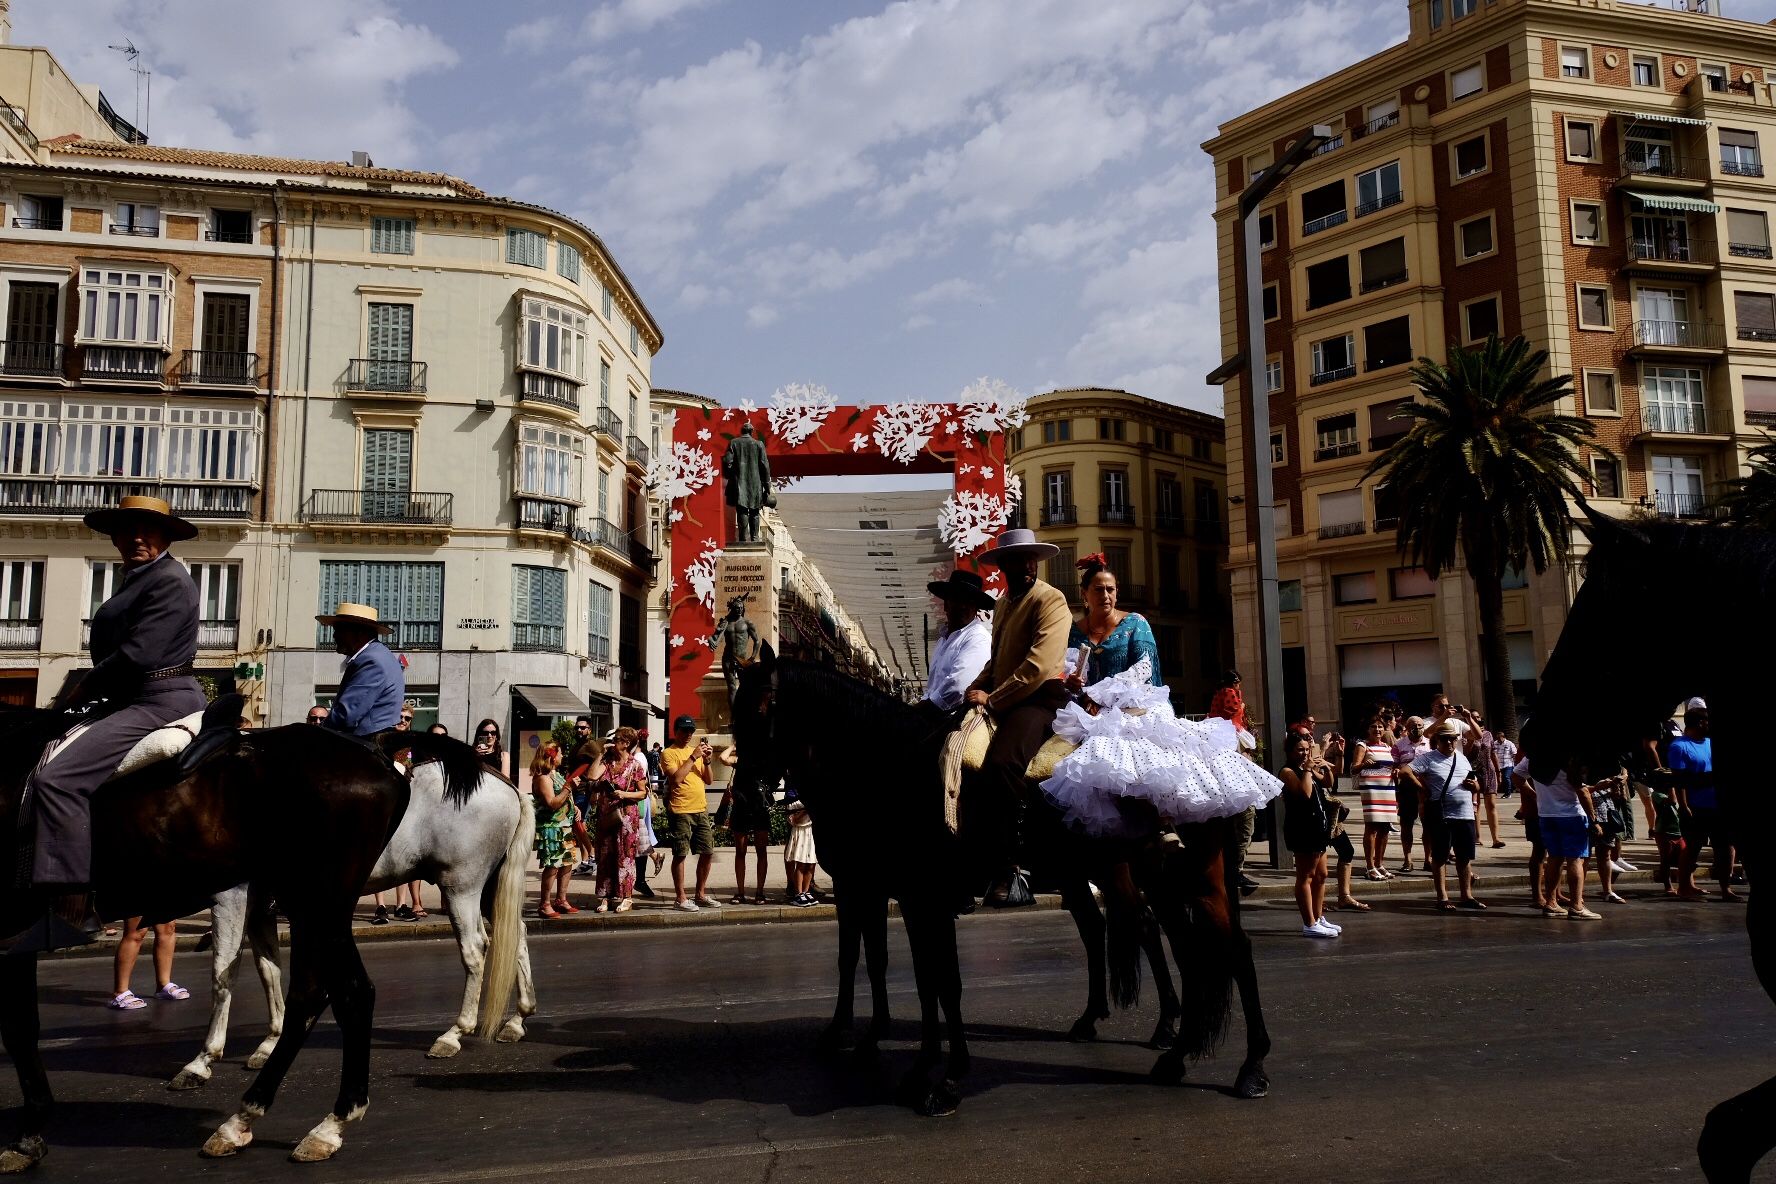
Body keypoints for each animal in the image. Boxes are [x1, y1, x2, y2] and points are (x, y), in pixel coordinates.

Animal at [0, 710, 483, 1171]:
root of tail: (375, 748)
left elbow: (22, 1029)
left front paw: (29, 1134)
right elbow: (259, 969)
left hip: (332, 901)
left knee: (362, 990)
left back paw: (332, 1121)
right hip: (311, 906)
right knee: (313, 994)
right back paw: (246, 1119)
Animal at [172, 745, 532, 1086]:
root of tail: (504, 782)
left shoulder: (230, 897)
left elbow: (222, 974)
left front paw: (201, 1061)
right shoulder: (260, 906)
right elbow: (268, 971)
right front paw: (271, 1042)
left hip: (461, 887)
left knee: (474, 950)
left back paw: (455, 1033)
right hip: (490, 887)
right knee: (516, 935)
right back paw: (518, 1019)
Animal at [728, 642, 1271, 1114]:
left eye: (762, 709)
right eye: (732, 712)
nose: (747, 800)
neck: (891, 769)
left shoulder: (911, 894)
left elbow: (939, 979)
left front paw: (940, 1075)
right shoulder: (879, 888)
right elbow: (889, 968)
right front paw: (886, 1048)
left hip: (1180, 874)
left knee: (1229, 948)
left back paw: (1250, 1068)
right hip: (1146, 874)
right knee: (1175, 944)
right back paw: (1171, 1052)